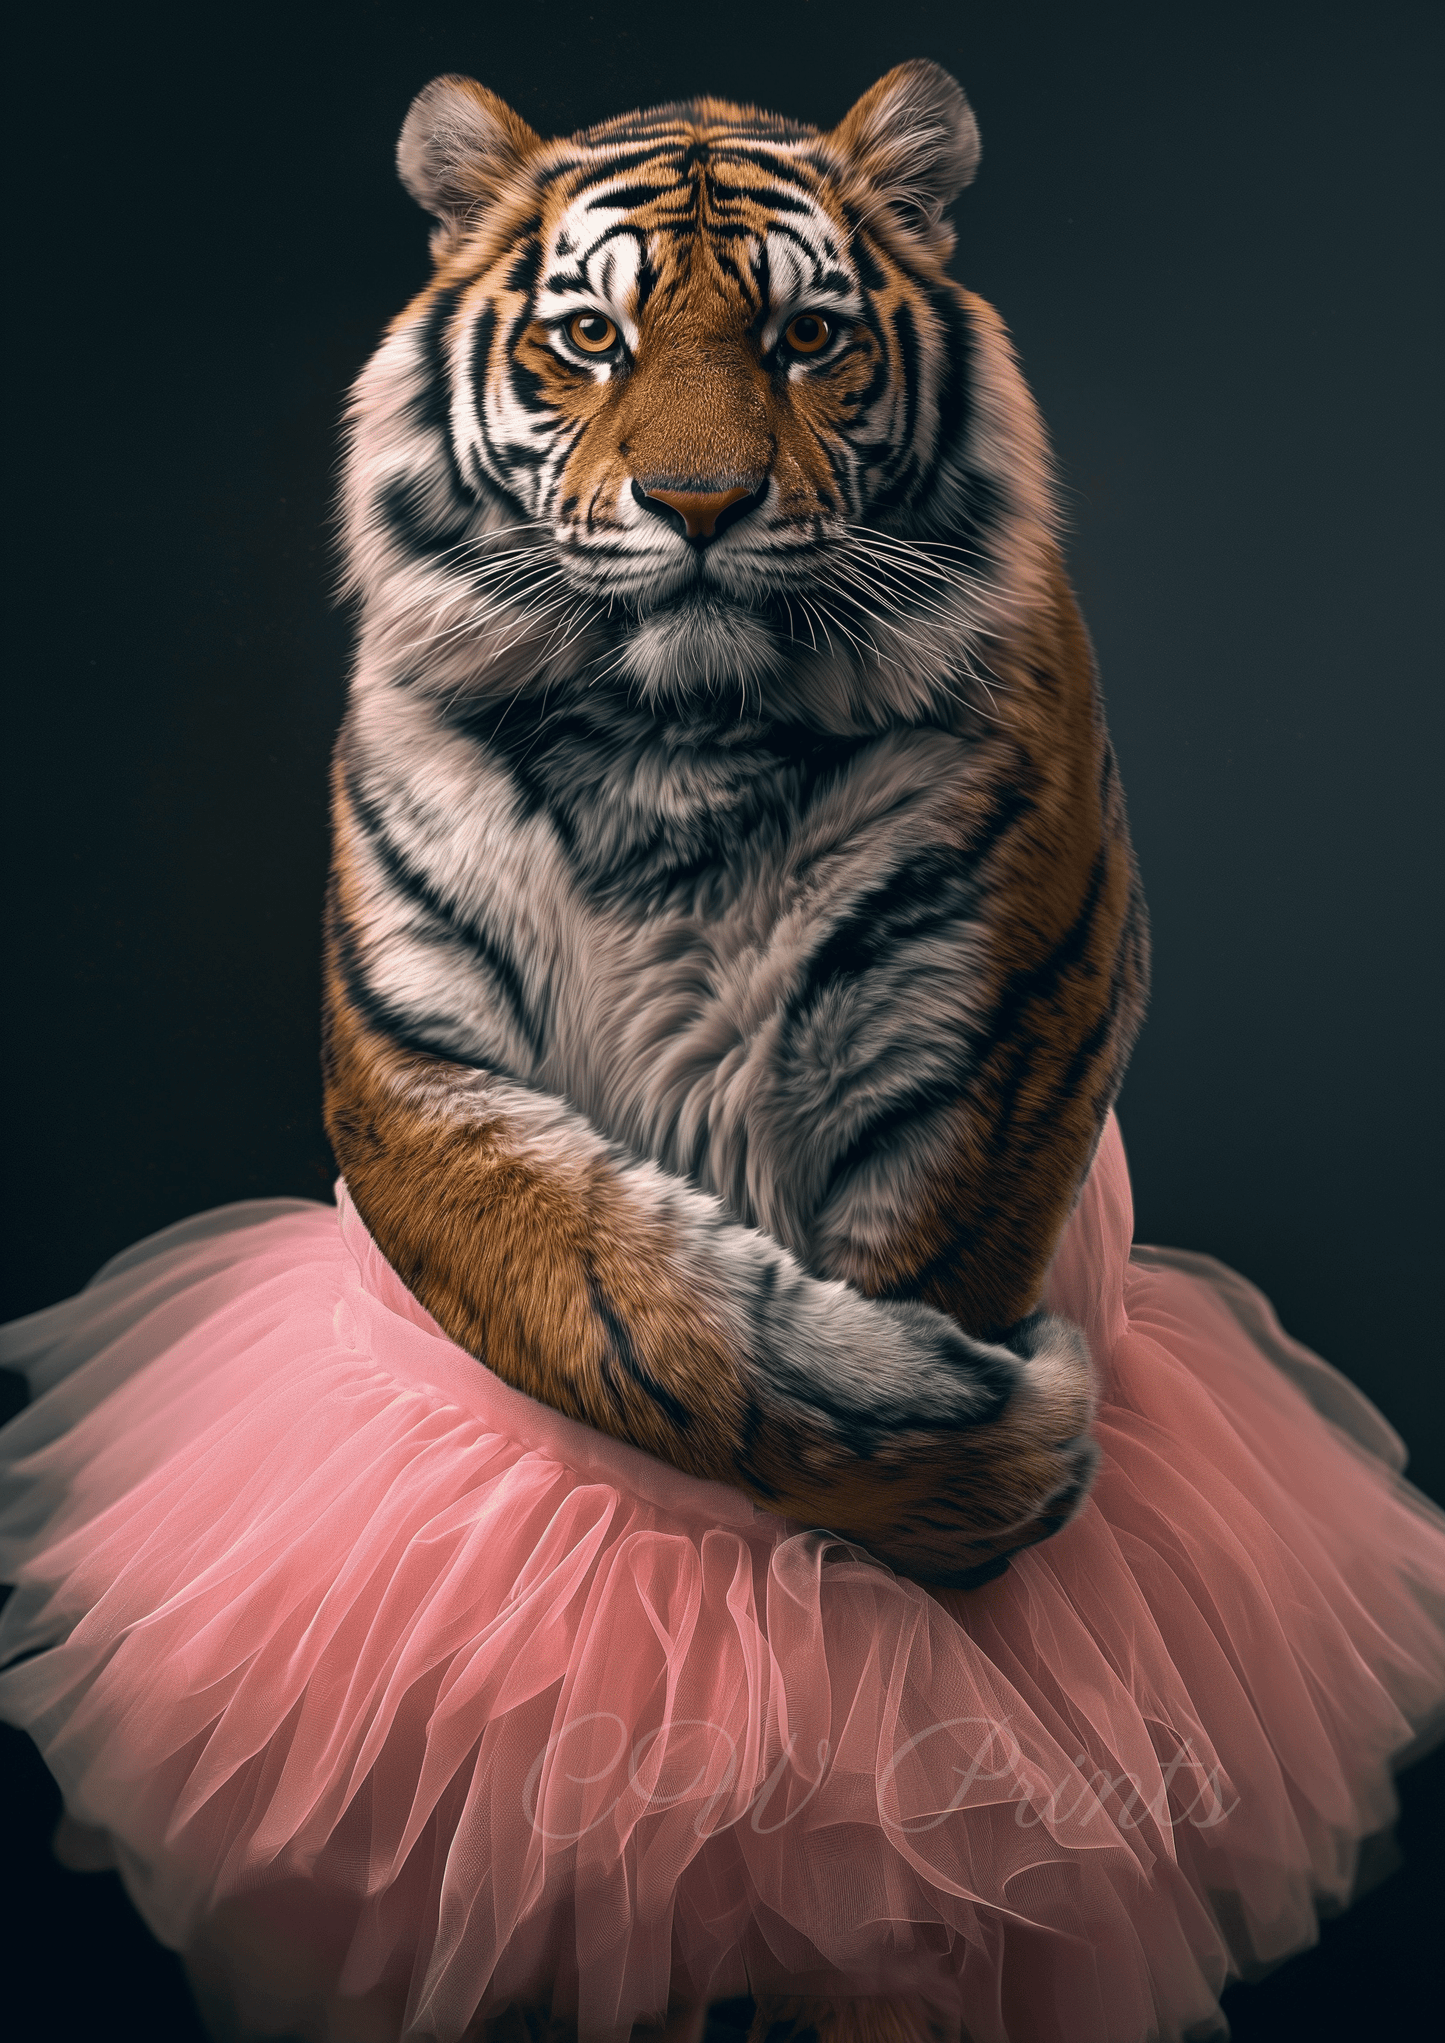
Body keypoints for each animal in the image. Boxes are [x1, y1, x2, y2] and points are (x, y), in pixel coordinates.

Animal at [324, 62, 1146, 1666]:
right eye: (593, 336)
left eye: (805, 337)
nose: (698, 504)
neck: (671, 744)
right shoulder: (404, 1057)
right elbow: (618, 1303)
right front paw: (984, 1452)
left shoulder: (994, 1039)